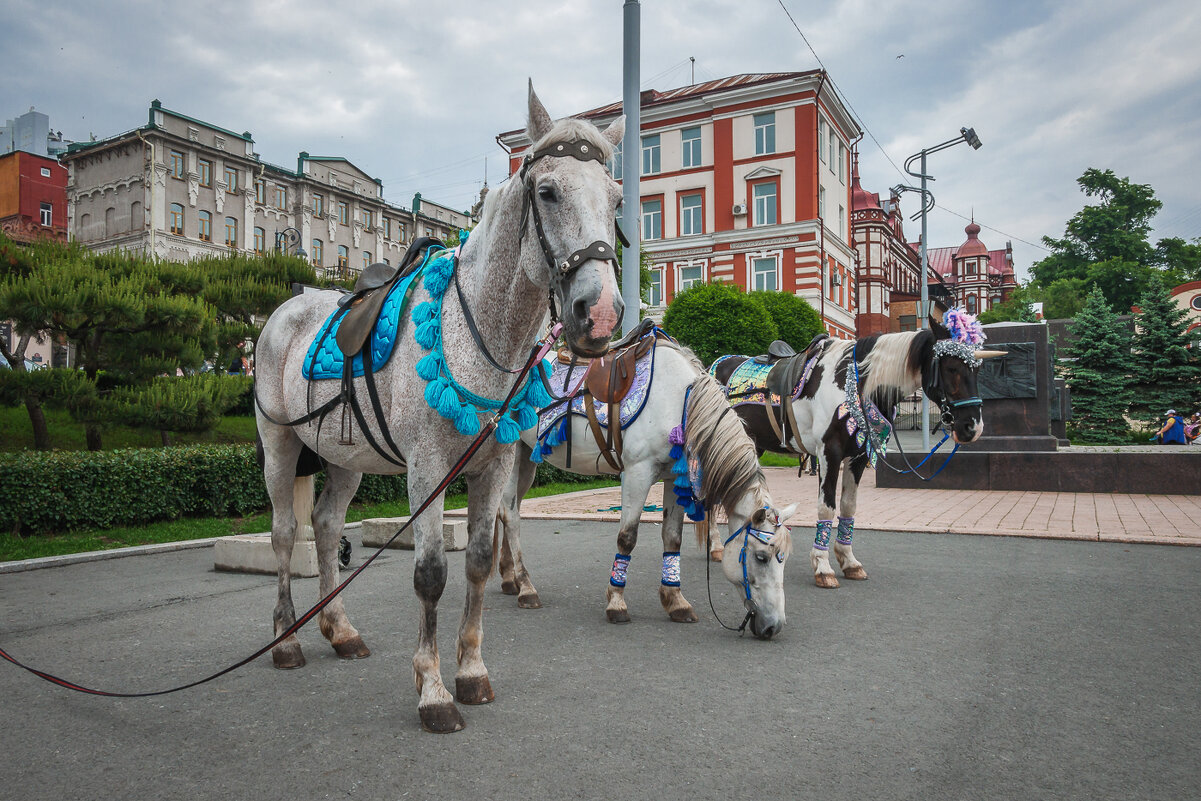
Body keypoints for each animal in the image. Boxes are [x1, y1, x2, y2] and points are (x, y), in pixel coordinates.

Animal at [710, 317, 1004, 588]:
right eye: (952, 367)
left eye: (977, 369)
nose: (972, 427)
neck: (851, 383)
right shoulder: (829, 453)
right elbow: (826, 507)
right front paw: (823, 567)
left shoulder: (858, 457)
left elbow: (849, 506)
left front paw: (849, 561)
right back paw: (716, 547)